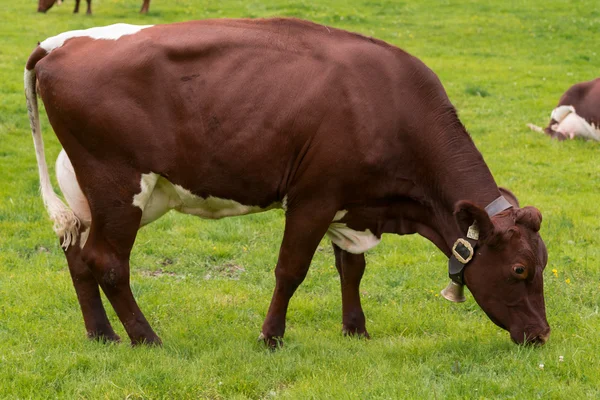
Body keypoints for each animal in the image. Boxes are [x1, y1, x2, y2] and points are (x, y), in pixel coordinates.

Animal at [25, 18, 552, 346]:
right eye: (520, 269)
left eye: (543, 264)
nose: (542, 333)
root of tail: (62, 42)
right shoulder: (314, 197)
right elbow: (291, 270)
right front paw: (271, 336)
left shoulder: (351, 204)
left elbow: (351, 268)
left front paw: (356, 330)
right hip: (118, 183)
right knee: (108, 262)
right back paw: (146, 338)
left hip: (96, 190)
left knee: (78, 255)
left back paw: (102, 335)